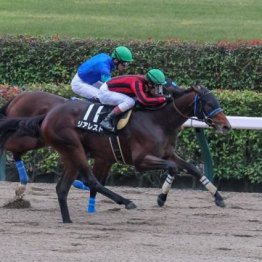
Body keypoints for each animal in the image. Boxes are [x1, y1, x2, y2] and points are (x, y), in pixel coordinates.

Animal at [0, 85, 231, 223]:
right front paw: (161, 198)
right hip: (69, 147)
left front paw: (219, 198)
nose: (226, 126)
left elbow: (192, 169)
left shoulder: (167, 154)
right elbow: (174, 169)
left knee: (63, 187)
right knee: (90, 180)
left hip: (69, 152)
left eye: (217, 101)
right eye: (208, 103)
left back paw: (67, 220)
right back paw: (126, 201)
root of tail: (48, 115)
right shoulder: (141, 161)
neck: (159, 120)